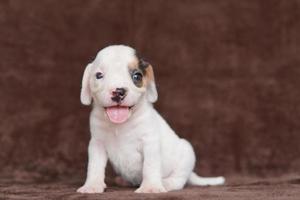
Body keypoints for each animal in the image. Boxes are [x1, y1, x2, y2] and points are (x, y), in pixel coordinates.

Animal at [76, 44, 224, 193]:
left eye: (137, 76)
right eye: (99, 75)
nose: (118, 92)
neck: (121, 125)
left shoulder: (150, 143)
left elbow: (150, 166)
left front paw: (150, 187)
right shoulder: (97, 144)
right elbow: (94, 166)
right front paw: (92, 185)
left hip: (187, 153)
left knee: (179, 179)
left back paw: (167, 183)